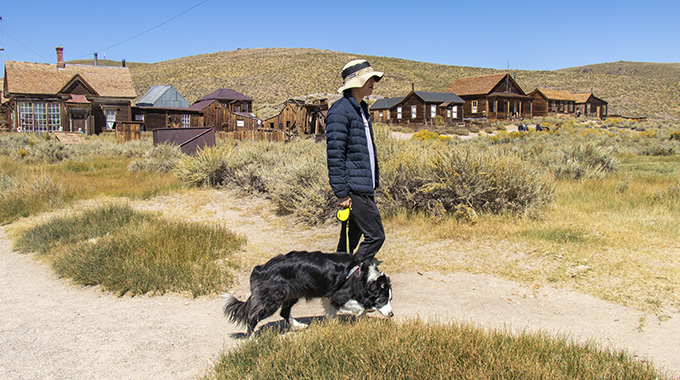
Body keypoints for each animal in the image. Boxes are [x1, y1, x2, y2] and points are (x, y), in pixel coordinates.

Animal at [223, 252, 394, 336]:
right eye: (383, 299)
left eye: (390, 298)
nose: (392, 314)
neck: (362, 276)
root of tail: (260, 269)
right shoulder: (339, 294)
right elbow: (358, 307)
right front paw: (360, 313)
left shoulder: (328, 295)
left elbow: (332, 311)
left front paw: (332, 325)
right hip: (272, 299)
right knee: (252, 317)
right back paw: (252, 339)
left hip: (292, 294)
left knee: (284, 312)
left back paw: (298, 326)